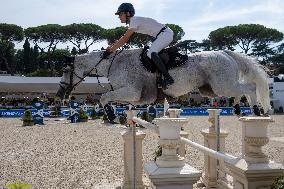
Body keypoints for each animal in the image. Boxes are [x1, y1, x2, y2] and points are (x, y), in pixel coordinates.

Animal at [55, 48, 270, 115]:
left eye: (65, 71)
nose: (59, 94)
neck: (114, 63)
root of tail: (225, 53)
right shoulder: (134, 96)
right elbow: (114, 100)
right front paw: (117, 115)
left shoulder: (132, 91)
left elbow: (104, 97)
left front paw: (110, 115)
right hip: (213, 89)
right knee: (241, 91)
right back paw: (241, 109)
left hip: (221, 86)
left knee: (250, 87)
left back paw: (256, 109)